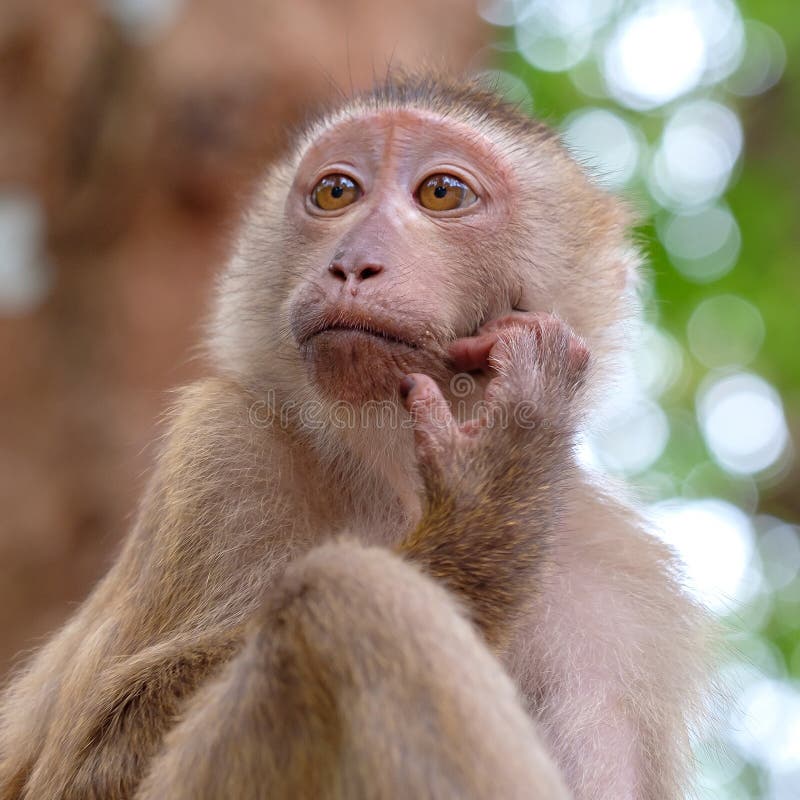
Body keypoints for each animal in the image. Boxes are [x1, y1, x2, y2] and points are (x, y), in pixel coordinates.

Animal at [0, 73, 708, 800]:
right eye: (337, 192)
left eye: (441, 192)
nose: (352, 265)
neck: (389, 473)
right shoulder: (221, 450)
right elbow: (83, 769)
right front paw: (495, 494)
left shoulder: (621, 600)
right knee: (345, 591)